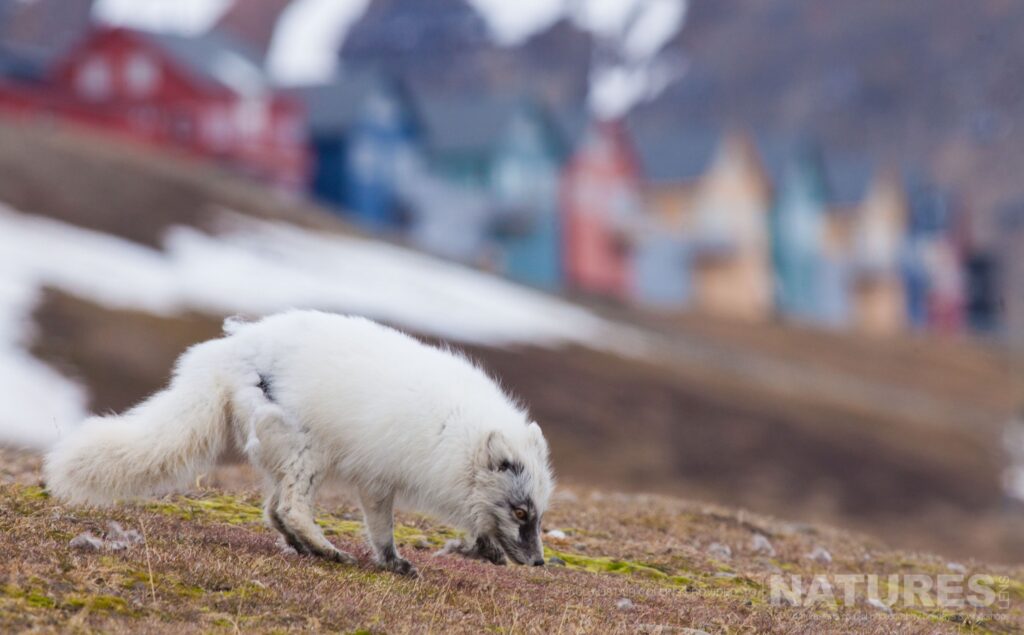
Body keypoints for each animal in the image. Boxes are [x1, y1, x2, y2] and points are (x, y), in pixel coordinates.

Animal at [41, 311, 552, 573]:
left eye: (538, 515)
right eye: (519, 512)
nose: (539, 563)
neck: (456, 433)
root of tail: (223, 352)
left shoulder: (382, 478)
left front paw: (480, 548)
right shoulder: (379, 476)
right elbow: (382, 529)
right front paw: (394, 562)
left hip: (285, 455)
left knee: (272, 509)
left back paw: (305, 547)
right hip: (309, 453)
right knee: (289, 507)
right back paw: (327, 551)